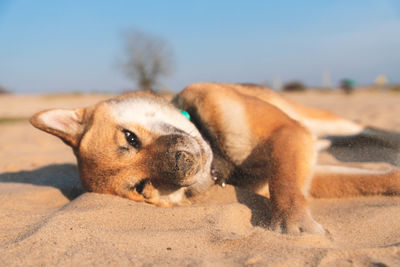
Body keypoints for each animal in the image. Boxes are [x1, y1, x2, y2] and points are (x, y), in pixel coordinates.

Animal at [29, 82, 400, 236]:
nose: (184, 163)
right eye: (142, 187)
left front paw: (291, 222)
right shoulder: (309, 164)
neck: (224, 158)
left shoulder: (286, 131)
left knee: (365, 128)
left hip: (321, 119)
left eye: (130, 138)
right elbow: (371, 180)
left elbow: (284, 183)